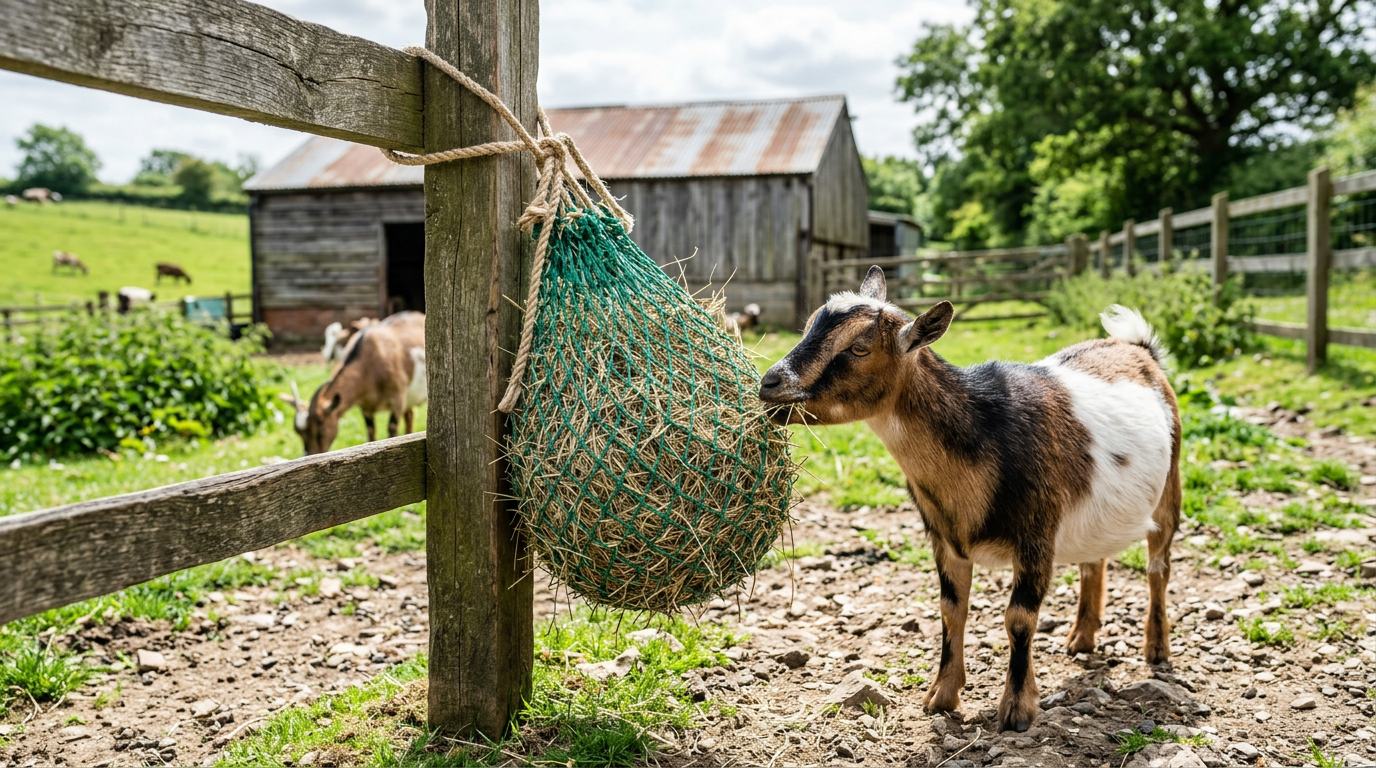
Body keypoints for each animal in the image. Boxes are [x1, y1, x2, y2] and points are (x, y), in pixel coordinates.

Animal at [281, 311, 426, 454]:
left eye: (320, 431)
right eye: (299, 433)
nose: (310, 454)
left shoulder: (398, 400)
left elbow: (392, 430)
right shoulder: (366, 407)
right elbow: (371, 433)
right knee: (410, 416)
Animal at [759, 266, 1180, 733]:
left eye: (858, 347)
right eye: (807, 327)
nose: (769, 383)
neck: (982, 429)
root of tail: (1138, 349)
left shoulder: (1037, 536)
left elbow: (1019, 618)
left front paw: (1016, 709)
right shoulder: (944, 538)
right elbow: (951, 610)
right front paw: (941, 695)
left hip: (1170, 490)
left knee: (1158, 567)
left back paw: (1156, 648)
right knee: (1094, 561)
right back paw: (1081, 639)